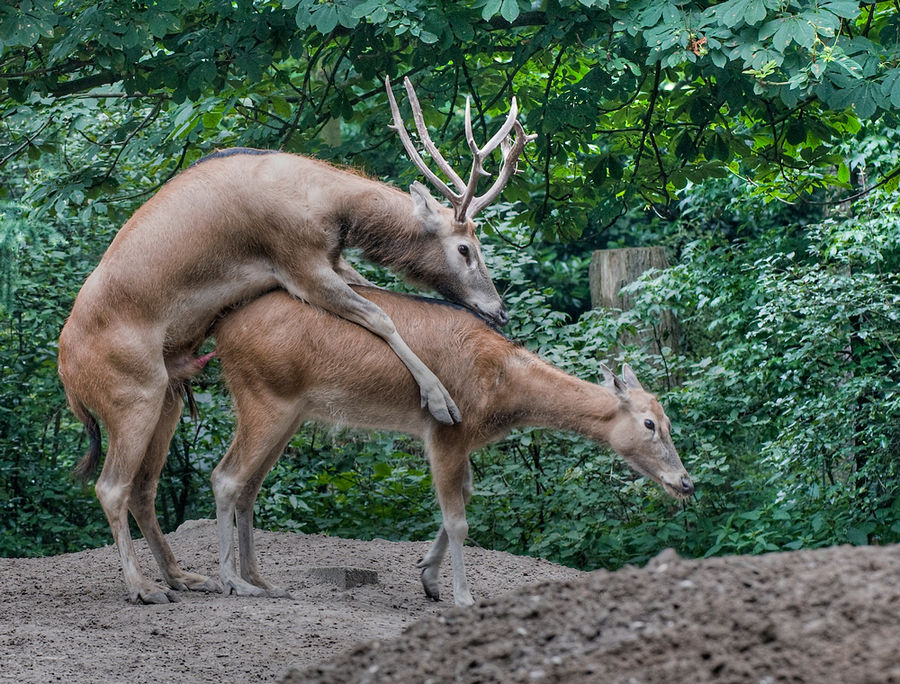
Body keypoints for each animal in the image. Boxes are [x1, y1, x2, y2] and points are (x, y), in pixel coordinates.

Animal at [59, 79, 536, 604]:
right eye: (465, 248)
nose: (500, 311)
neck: (331, 210)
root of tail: (67, 375)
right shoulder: (299, 262)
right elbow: (381, 315)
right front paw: (440, 399)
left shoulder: (330, 260)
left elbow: (381, 300)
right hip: (132, 394)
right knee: (110, 486)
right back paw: (144, 587)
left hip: (168, 395)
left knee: (144, 486)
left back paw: (184, 576)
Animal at [211, 286, 696, 608]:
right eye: (650, 423)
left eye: (669, 420)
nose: (686, 482)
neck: (504, 394)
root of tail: (220, 334)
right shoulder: (444, 433)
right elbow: (458, 518)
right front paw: (462, 596)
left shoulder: (464, 444)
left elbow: (463, 497)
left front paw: (428, 576)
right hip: (265, 398)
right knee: (226, 476)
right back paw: (233, 582)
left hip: (291, 412)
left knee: (250, 485)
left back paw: (262, 579)